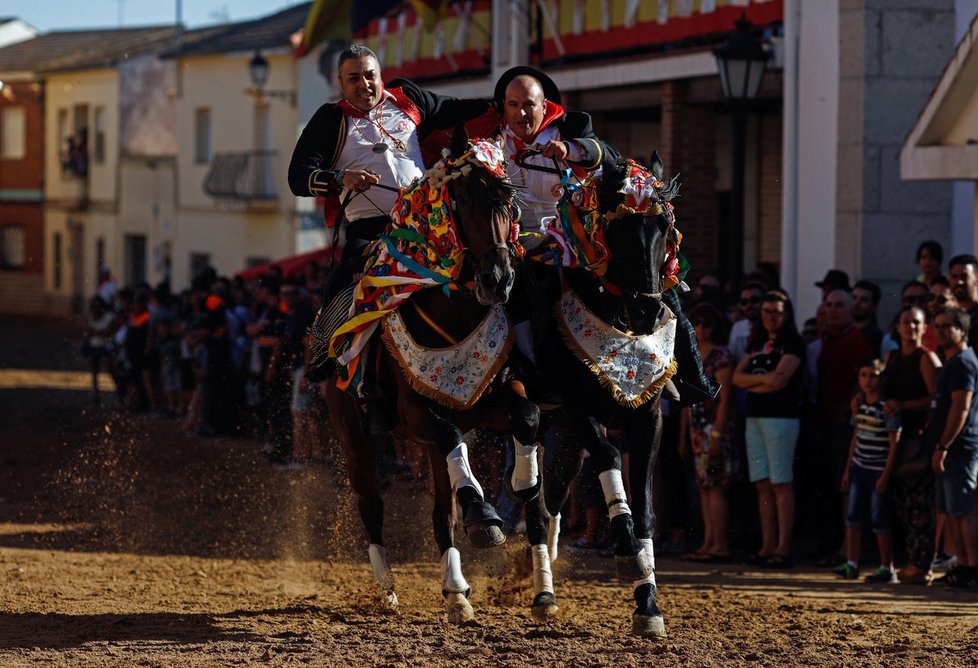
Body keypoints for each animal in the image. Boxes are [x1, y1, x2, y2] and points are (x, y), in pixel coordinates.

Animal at [320, 133, 536, 624]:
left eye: (508, 201)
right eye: (462, 200)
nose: (499, 279)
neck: (455, 313)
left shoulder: (491, 401)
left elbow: (527, 413)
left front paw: (524, 481)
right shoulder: (419, 414)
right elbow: (450, 438)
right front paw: (484, 512)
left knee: (442, 513)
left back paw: (456, 590)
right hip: (352, 431)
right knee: (372, 503)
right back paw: (387, 588)